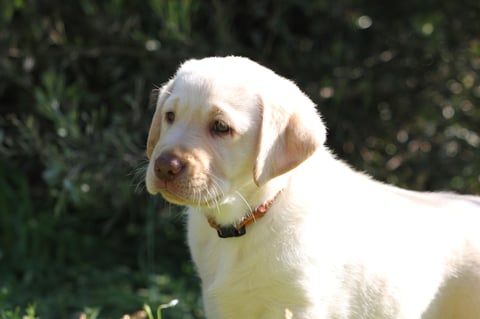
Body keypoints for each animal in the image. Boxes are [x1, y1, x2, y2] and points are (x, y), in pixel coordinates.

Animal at [145, 56, 480, 318]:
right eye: (170, 116)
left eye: (220, 127)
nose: (163, 166)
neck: (250, 216)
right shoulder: (221, 304)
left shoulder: (299, 305)